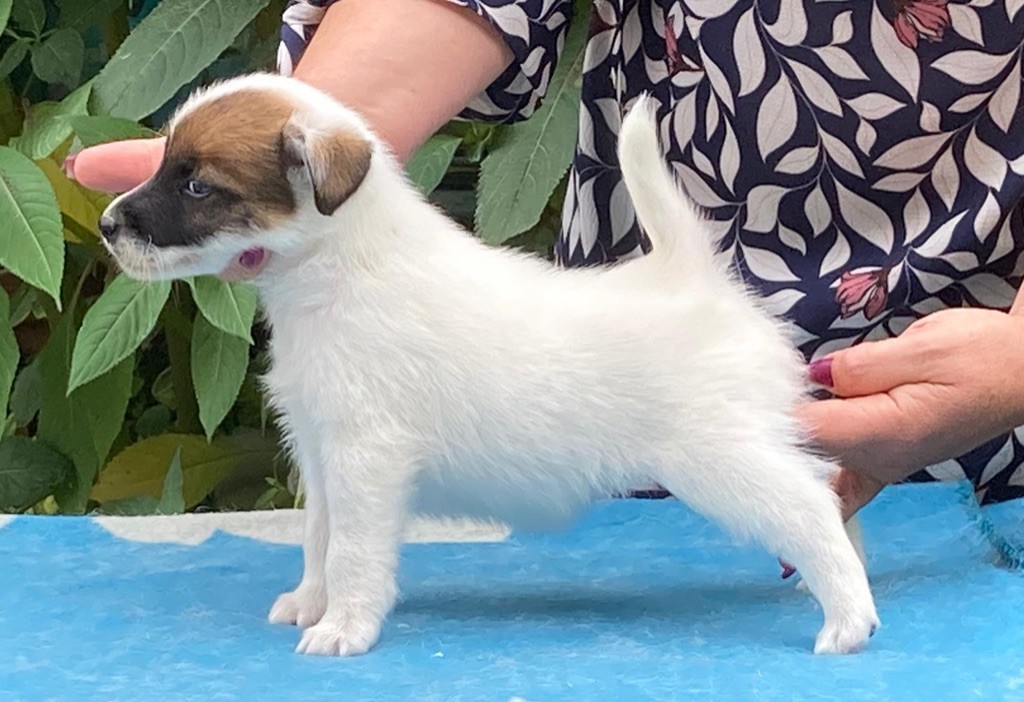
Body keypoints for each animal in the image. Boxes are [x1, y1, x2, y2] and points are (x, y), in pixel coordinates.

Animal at [99, 74, 876, 659]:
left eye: (197, 186)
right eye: (166, 166)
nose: (106, 226)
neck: (339, 268)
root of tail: (693, 279)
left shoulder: (366, 458)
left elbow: (352, 550)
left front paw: (345, 625)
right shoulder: (323, 455)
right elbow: (319, 537)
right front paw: (312, 602)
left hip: (719, 457)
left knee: (808, 506)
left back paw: (847, 617)